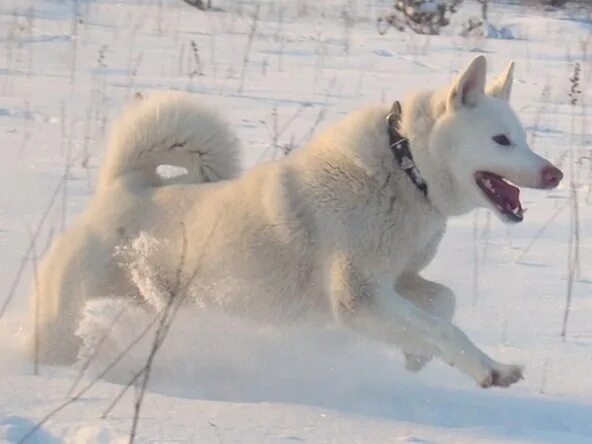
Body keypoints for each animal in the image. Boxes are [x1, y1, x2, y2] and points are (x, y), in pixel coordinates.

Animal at [30, 56, 560, 388]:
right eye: (500, 140)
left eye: (522, 138)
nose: (554, 173)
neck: (405, 169)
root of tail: (124, 186)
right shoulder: (358, 298)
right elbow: (445, 329)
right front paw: (490, 370)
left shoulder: (397, 280)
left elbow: (442, 304)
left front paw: (416, 357)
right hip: (65, 317)